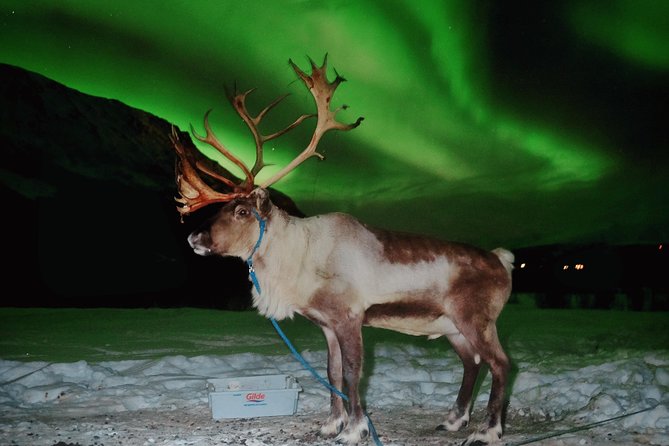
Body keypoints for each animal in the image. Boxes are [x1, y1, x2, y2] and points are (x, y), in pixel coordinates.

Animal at [171, 55, 514, 445]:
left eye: (242, 211)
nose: (194, 238)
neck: (299, 258)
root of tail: (502, 260)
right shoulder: (327, 324)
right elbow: (332, 372)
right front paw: (331, 423)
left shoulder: (350, 317)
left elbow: (353, 372)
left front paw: (354, 429)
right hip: (453, 326)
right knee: (472, 363)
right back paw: (454, 420)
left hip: (477, 319)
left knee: (501, 364)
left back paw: (489, 430)